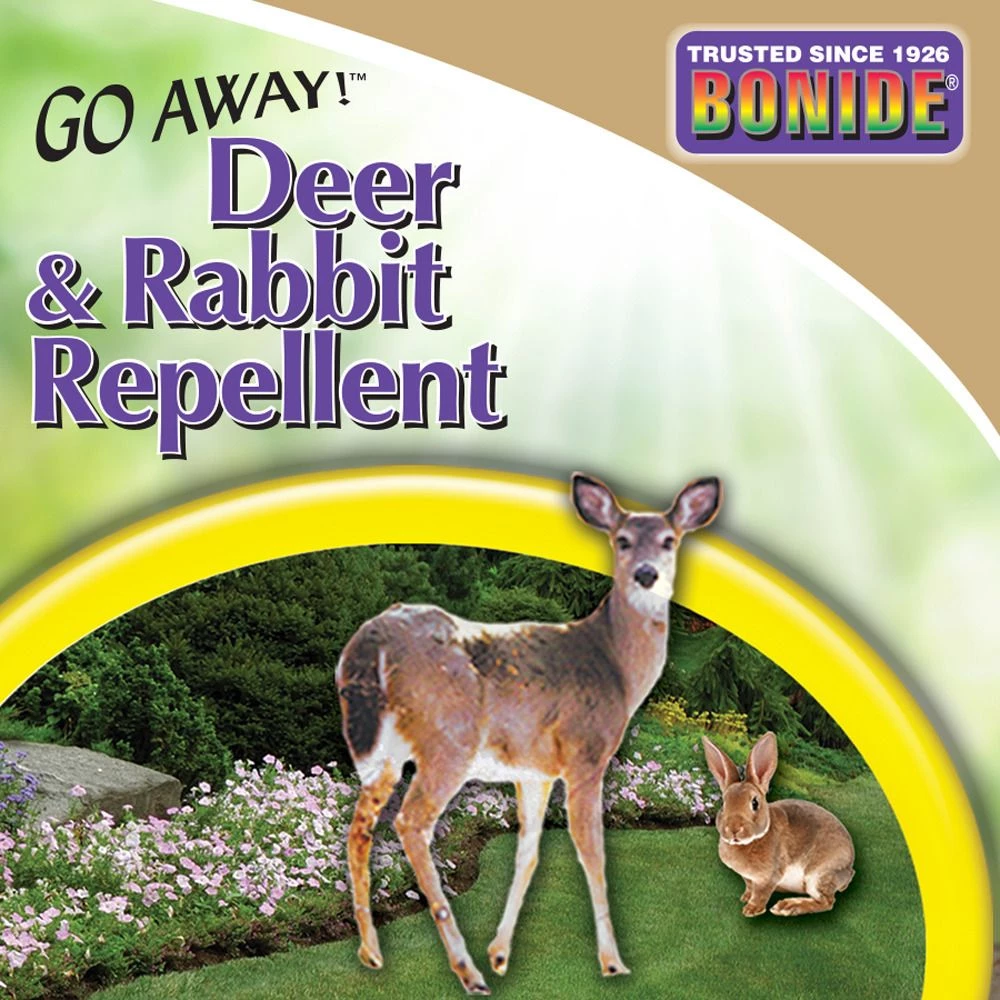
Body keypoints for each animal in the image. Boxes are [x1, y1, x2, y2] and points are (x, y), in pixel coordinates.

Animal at [336, 473, 722, 994]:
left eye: (669, 540)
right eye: (621, 540)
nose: (646, 575)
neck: (619, 671)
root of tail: (369, 641)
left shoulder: (534, 771)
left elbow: (529, 854)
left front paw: (501, 954)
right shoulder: (586, 754)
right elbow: (592, 851)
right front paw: (612, 962)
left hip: (385, 751)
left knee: (359, 827)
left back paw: (372, 952)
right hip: (449, 738)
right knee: (411, 822)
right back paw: (466, 970)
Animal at [701, 731, 855, 917]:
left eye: (755, 803)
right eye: (723, 804)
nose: (733, 829)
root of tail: (849, 869)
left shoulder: (768, 877)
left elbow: (761, 893)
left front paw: (751, 910)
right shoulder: (748, 878)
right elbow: (750, 887)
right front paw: (745, 898)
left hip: (818, 875)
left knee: (826, 902)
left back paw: (786, 907)